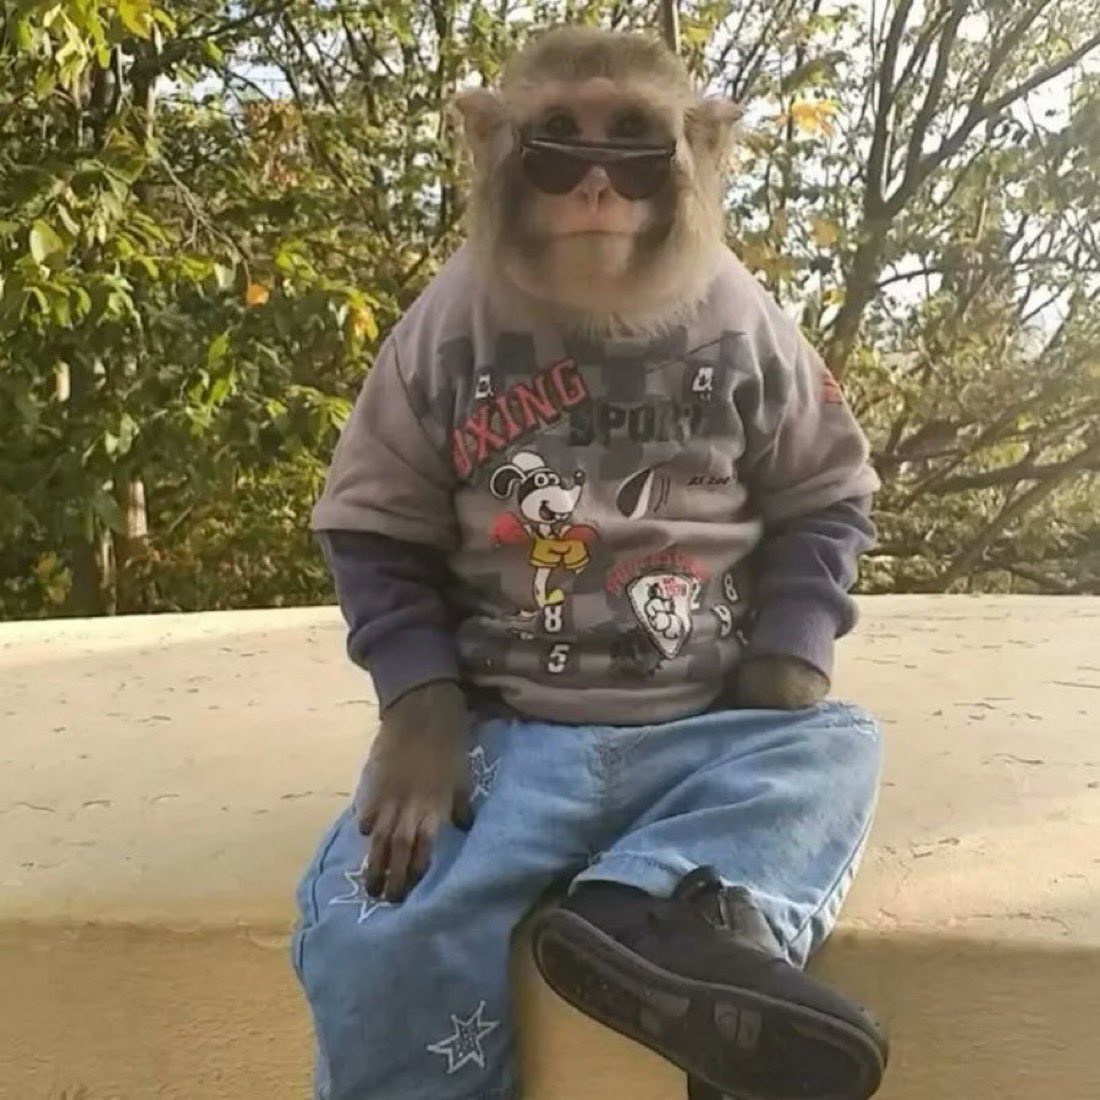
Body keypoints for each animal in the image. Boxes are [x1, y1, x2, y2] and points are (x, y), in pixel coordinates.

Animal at [299, 25, 887, 1100]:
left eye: (634, 139)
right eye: (561, 138)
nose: (600, 185)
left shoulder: (757, 326)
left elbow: (820, 486)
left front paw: (779, 678)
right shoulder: (428, 331)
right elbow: (380, 522)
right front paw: (417, 742)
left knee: (814, 757)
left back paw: (692, 977)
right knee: (383, 953)